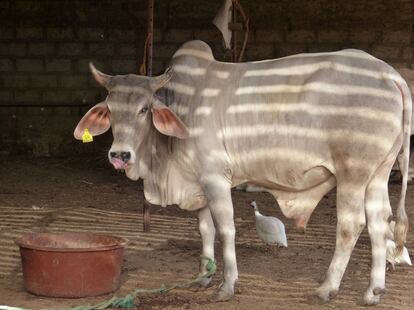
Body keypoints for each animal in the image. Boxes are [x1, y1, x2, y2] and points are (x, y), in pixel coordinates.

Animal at [74, 40, 410, 306]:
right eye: (109, 108)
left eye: (144, 109)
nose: (120, 155)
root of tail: (391, 74)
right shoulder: (199, 182)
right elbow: (205, 230)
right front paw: (203, 276)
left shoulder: (215, 179)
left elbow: (225, 231)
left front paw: (227, 285)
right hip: (378, 174)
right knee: (380, 223)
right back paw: (373, 291)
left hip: (353, 174)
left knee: (351, 226)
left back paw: (328, 287)